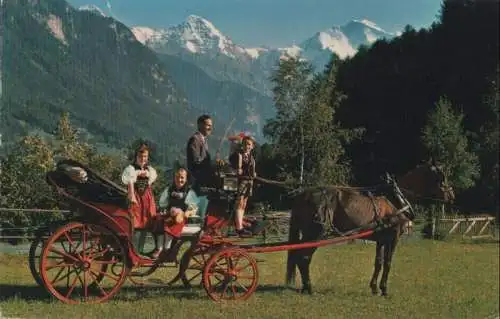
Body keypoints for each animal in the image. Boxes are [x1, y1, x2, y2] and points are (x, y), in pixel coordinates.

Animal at [286, 162, 454, 298]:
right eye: (441, 176)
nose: (451, 195)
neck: (395, 201)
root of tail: (302, 195)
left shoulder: (381, 239)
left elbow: (378, 262)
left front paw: (374, 288)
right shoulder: (394, 237)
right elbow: (388, 262)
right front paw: (384, 290)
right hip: (315, 234)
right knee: (304, 258)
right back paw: (309, 288)